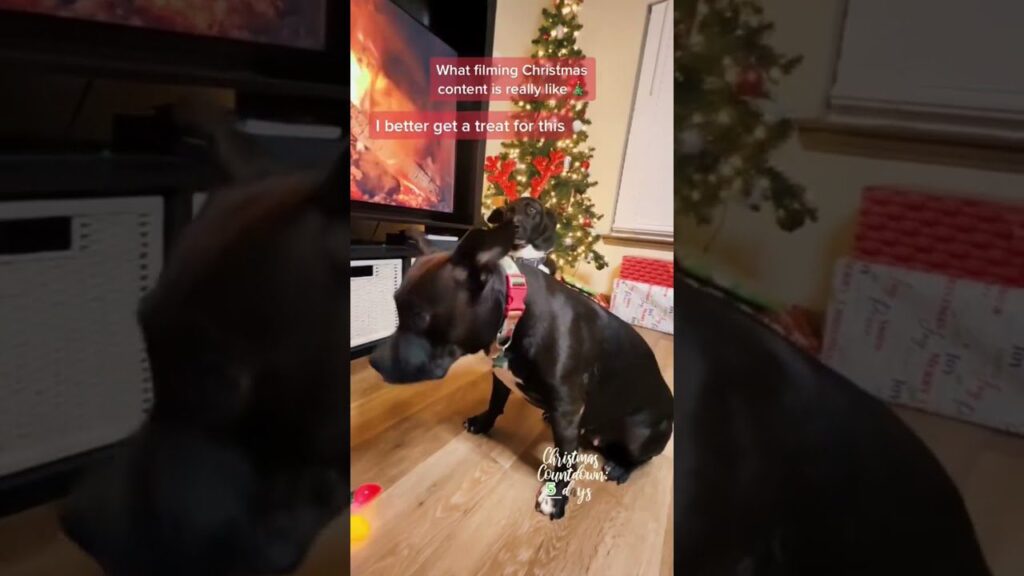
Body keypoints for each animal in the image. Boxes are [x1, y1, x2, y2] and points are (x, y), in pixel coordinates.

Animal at [368, 222, 671, 518]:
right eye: (395, 304)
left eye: (420, 317)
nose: (373, 361)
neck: (514, 314)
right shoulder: (501, 377)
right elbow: (495, 402)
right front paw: (482, 423)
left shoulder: (567, 408)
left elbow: (565, 457)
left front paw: (556, 498)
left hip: (637, 435)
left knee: (642, 457)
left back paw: (620, 467)